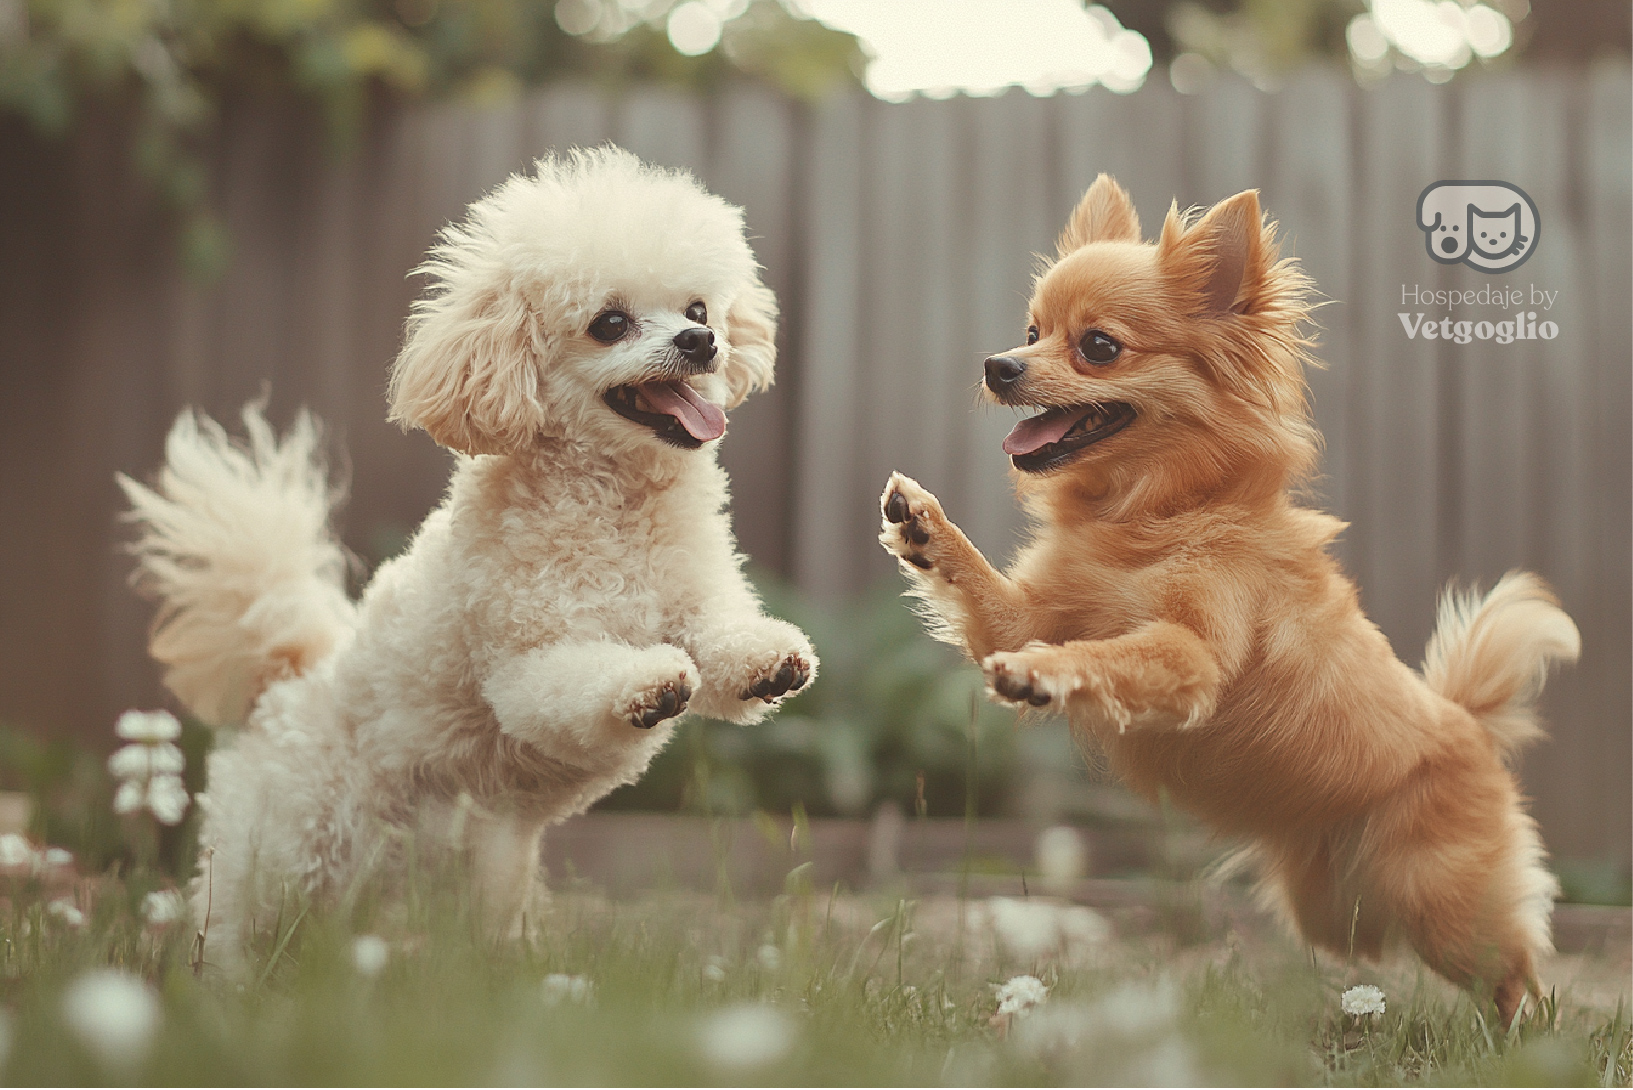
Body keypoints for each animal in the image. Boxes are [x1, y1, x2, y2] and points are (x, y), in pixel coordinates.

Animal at [118, 147, 816, 960]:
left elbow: (727, 645)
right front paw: (646, 686)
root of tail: (286, 681)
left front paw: (773, 661)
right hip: (281, 856)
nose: (701, 343)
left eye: (699, 310)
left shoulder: (697, 605)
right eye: (609, 323)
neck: (616, 506)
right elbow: (581, 682)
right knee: (232, 929)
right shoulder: (525, 668)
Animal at [881, 174, 1580, 1026]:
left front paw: (1046, 673)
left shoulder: (1192, 656)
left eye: (1098, 346)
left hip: (1443, 904)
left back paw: (1528, 1039)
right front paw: (923, 526)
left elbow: (1110, 652)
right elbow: (987, 589)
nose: (997, 364)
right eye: (1031, 330)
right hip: (1334, 911)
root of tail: (1465, 723)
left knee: (1517, 977)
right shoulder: (1019, 616)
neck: (1152, 514)